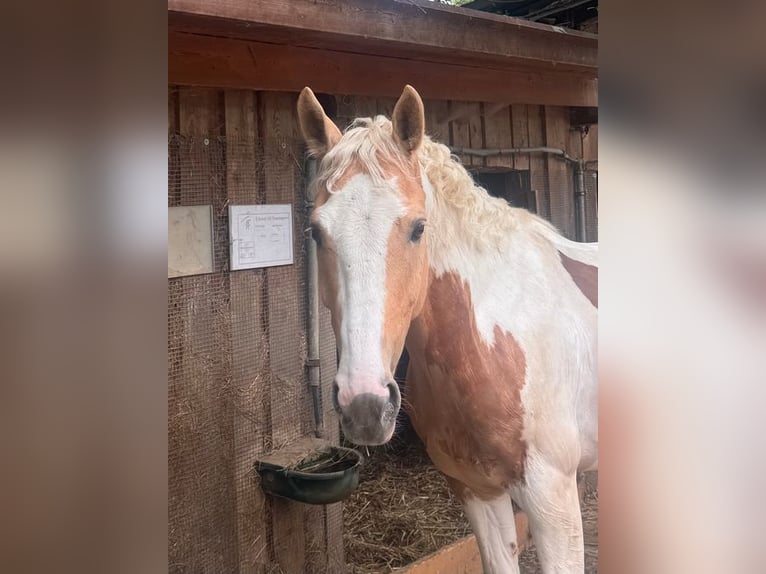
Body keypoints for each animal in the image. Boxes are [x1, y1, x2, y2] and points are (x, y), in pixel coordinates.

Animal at [297, 85, 597, 574]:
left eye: (419, 228)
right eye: (316, 232)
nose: (365, 405)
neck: (491, 343)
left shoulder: (554, 501)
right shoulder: (477, 491)